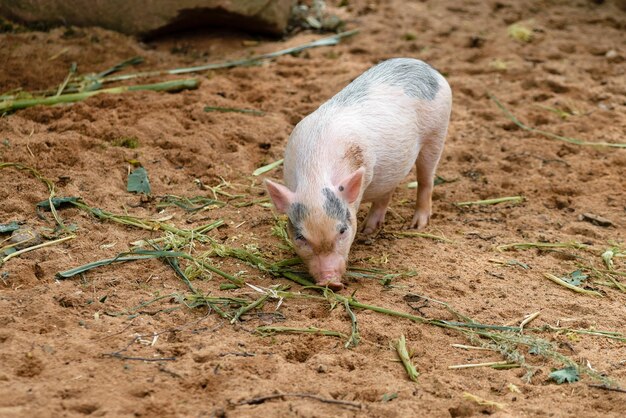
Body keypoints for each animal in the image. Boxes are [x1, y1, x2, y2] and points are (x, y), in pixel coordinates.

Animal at [264, 57, 448, 290]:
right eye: (300, 237)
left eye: (343, 230)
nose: (329, 281)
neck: (314, 174)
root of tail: (425, 67)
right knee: (388, 191)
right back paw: (369, 230)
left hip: (437, 133)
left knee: (426, 179)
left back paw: (416, 225)